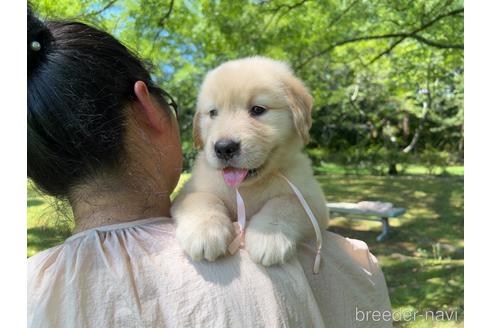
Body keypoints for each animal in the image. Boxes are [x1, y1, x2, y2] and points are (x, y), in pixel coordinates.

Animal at [171, 56, 328, 266]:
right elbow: (202, 198)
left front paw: (269, 235)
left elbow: (286, 203)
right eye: (213, 113)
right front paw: (205, 231)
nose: (224, 147)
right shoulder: (188, 191)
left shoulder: (314, 202)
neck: (248, 187)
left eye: (257, 110)